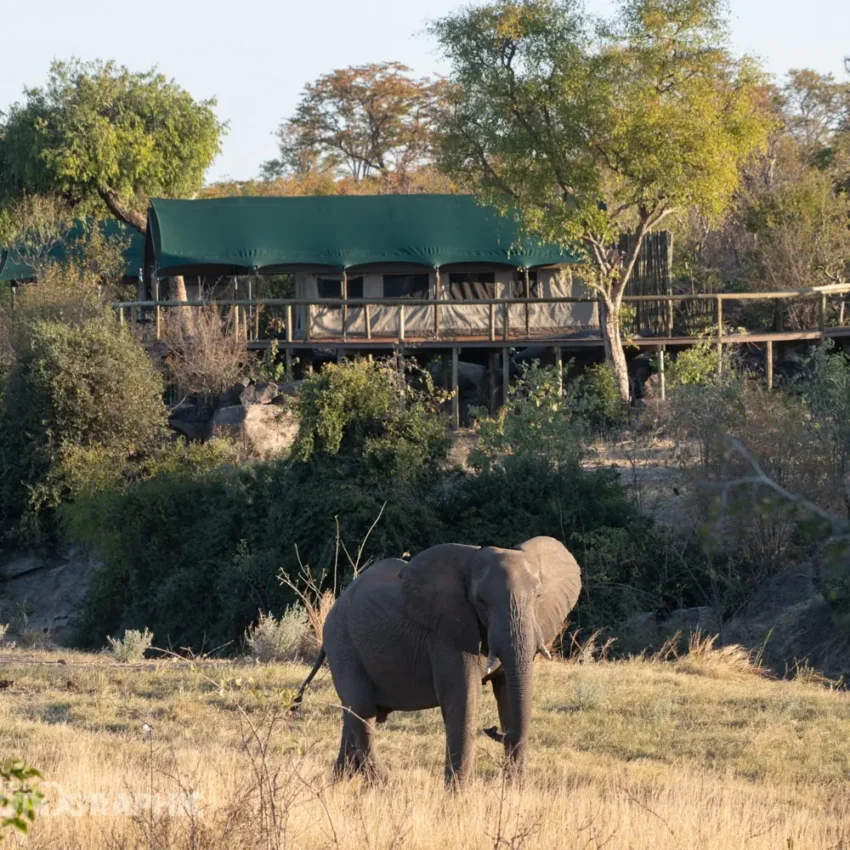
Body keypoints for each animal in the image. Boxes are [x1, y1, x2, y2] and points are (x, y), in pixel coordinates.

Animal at [293, 536, 582, 784]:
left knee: (351, 717)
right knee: (362, 712)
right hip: (343, 644)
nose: (493, 730)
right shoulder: (446, 633)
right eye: (481, 600)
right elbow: (464, 698)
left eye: (538, 597)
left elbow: (509, 696)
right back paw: (385, 786)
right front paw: (457, 798)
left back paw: (338, 785)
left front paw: (513, 792)